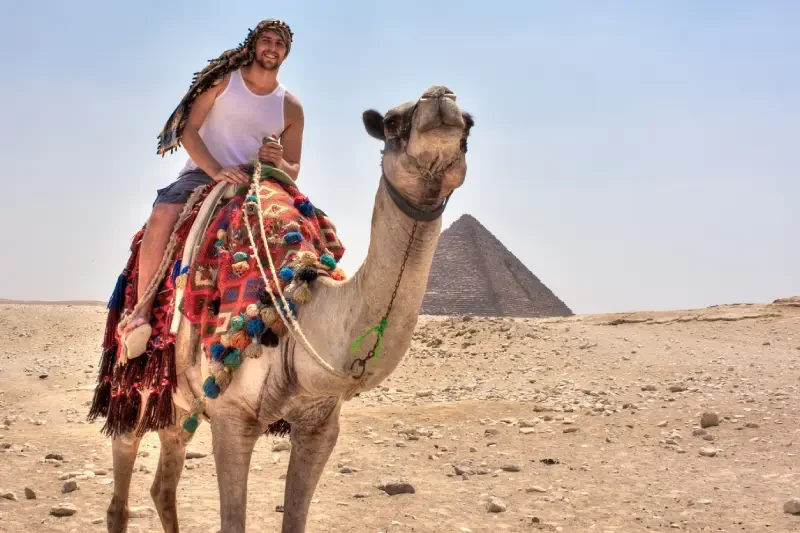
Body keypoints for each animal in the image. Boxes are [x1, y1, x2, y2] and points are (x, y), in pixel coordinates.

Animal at [104, 84, 474, 533]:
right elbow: (233, 523)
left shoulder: (319, 424)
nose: (440, 98)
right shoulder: (231, 416)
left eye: (469, 123)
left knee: (164, 481)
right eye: (390, 122)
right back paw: (136, 332)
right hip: (133, 383)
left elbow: (295, 518)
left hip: (179, 400)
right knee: (123, 473)